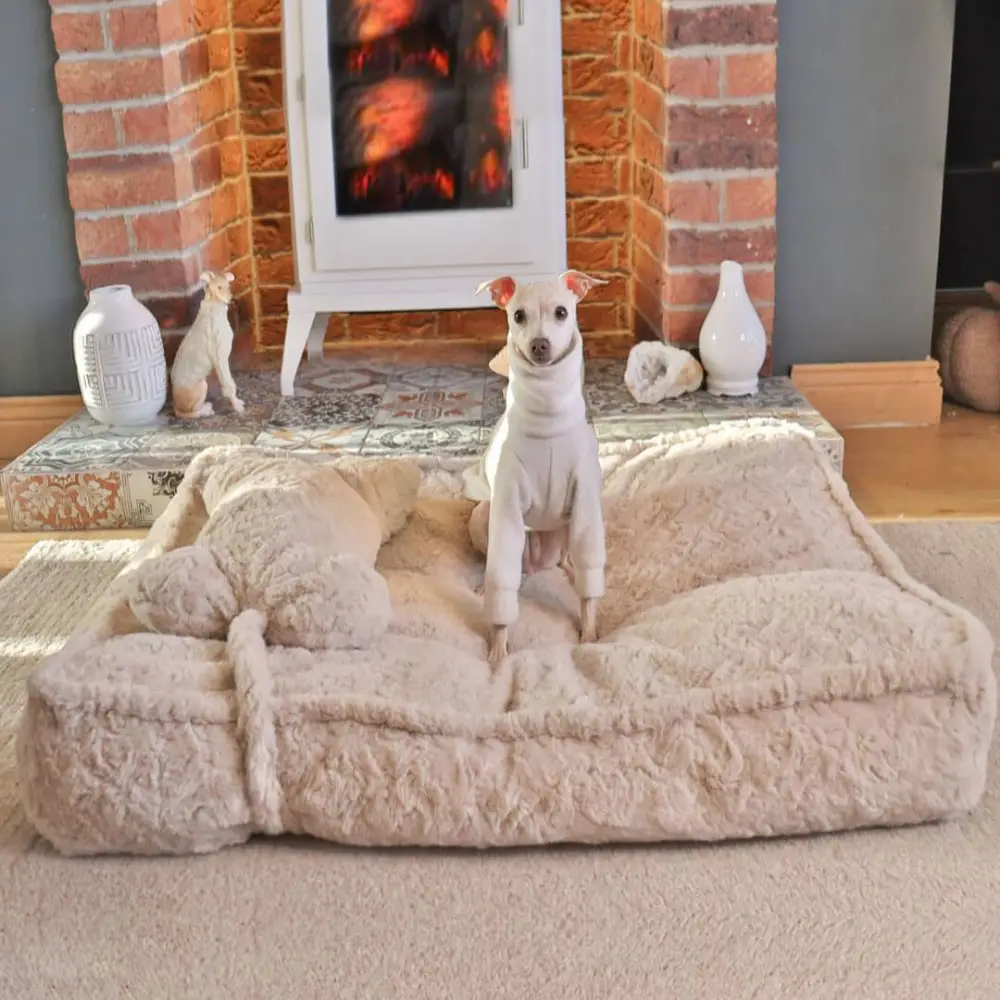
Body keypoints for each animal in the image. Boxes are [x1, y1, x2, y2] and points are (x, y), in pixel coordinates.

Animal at [472, 270, 604, 668]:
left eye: (562, 312)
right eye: (518, 316)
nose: (540, 345)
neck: (547, 418)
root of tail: (534, 565)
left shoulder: (587, 505)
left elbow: (590, 586)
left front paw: (589, 632)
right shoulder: (506, 508)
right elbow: (501, 595)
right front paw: (498, 648)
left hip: (567, 530)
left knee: (568, 561)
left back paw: (569, 571)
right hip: (483, 516)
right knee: (501, 568)